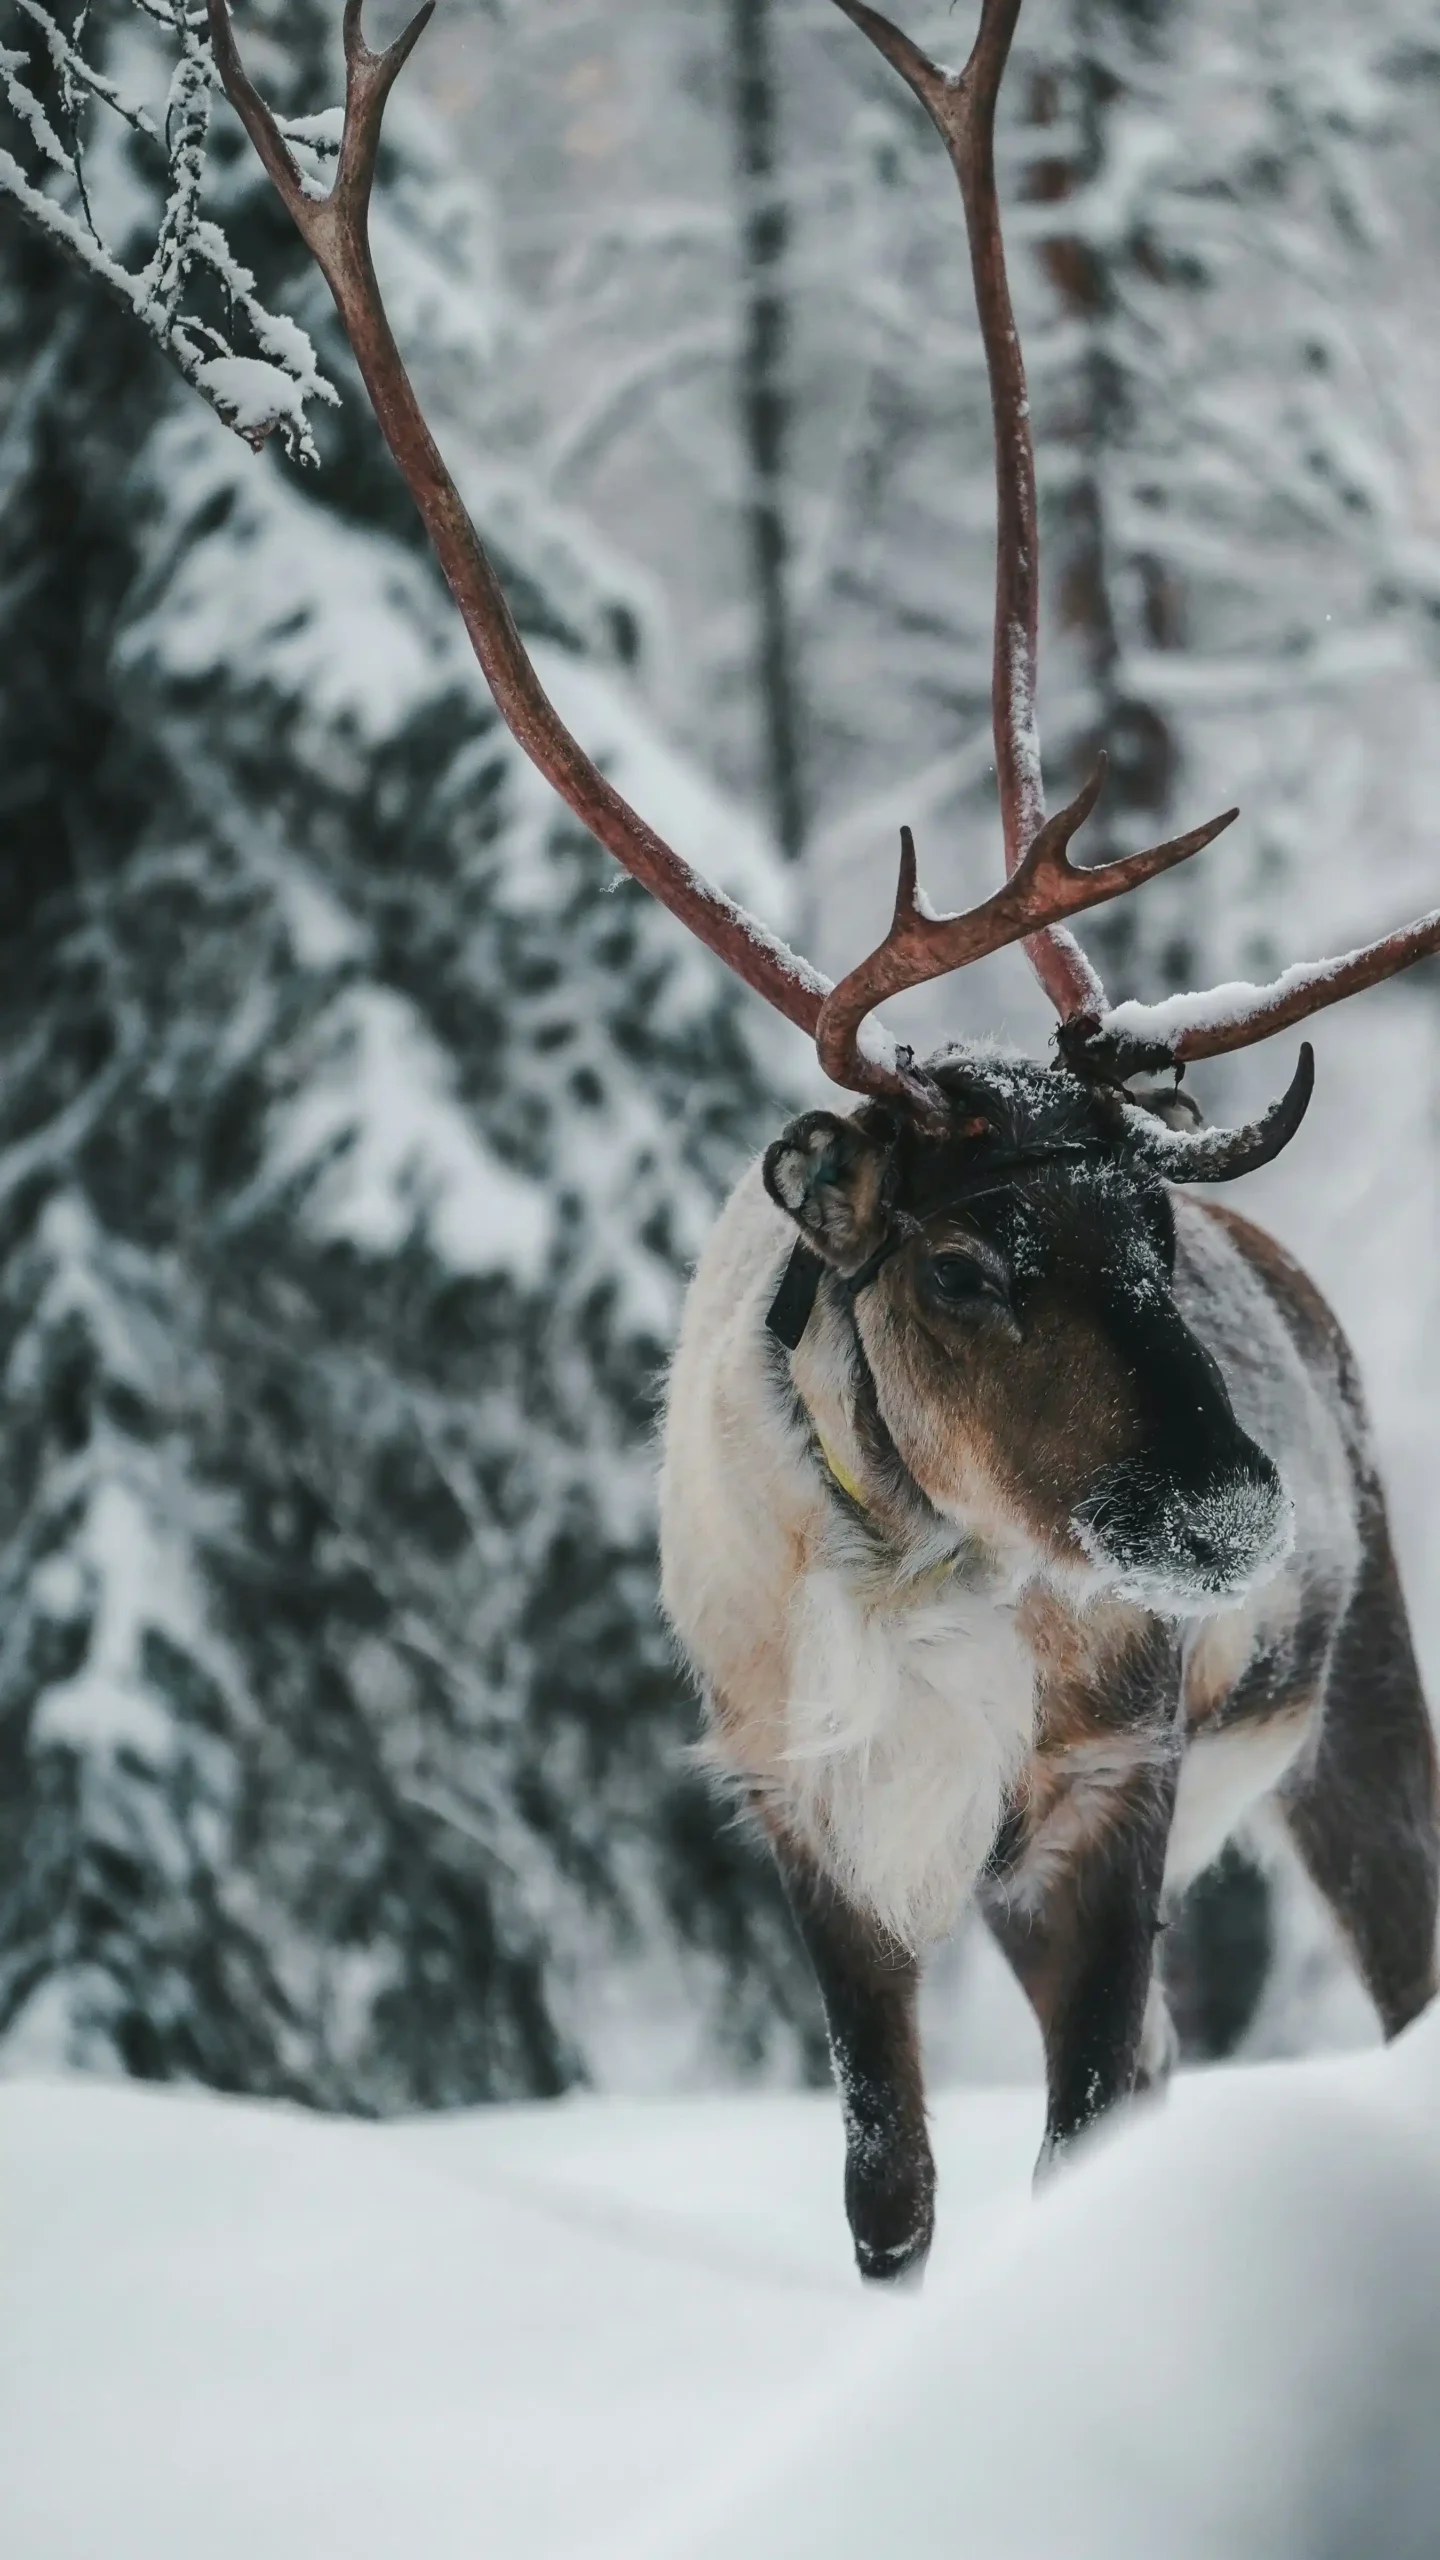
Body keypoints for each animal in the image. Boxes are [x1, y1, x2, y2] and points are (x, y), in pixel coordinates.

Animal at [210, 0, 1440, 2282]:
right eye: (960, 1260)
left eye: (1151, 1229)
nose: (1233, 1508)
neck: (922, 1551)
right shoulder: (802, 1810)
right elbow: (891, 2180)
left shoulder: (1102, 1791)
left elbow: (1079, 2124)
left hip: (1361, 1706)